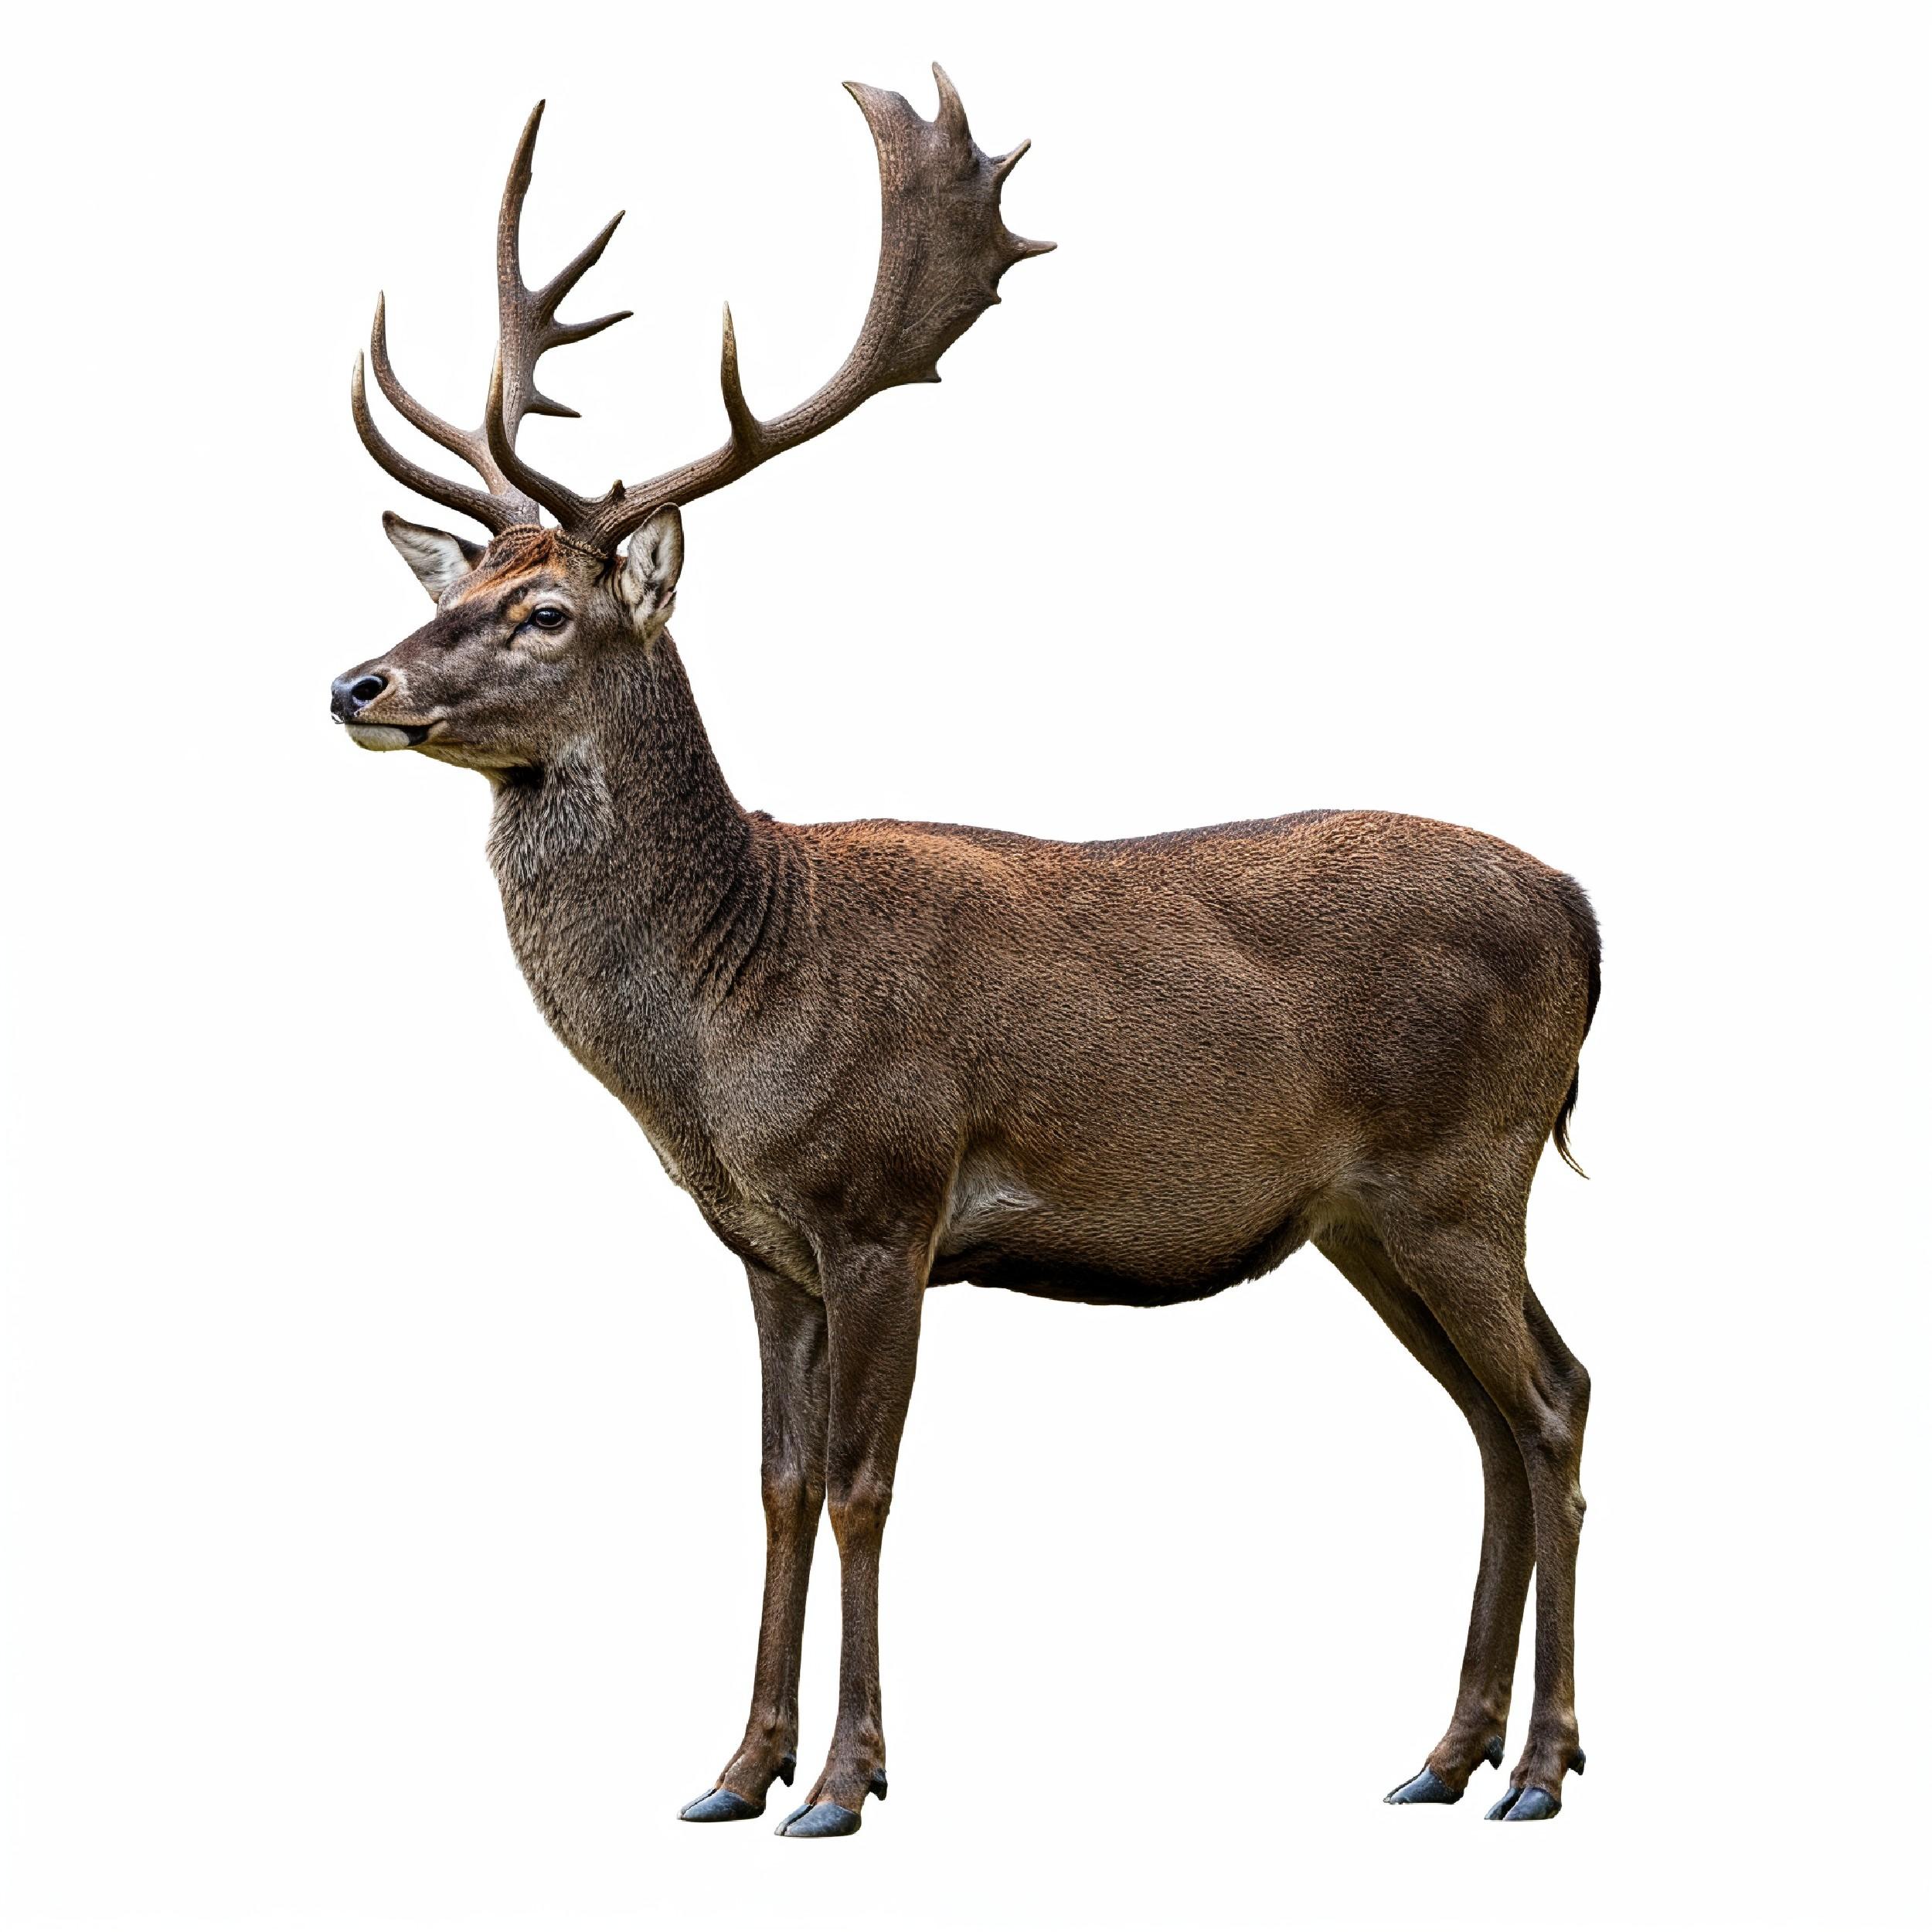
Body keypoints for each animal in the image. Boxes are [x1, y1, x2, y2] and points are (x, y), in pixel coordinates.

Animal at [332, 67, 1600, 1837]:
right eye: (466, 587)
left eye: (544, 616)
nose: (357, 683)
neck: (723, 1030)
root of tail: (1587, 910)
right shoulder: (762, 1244)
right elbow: (780, 1482)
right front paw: (732, 1769)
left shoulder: (886, 1193)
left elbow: (866, 1483)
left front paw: (844, 1780)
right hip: (1368, 1214)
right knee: (1503, 1413)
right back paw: (1445, 1750)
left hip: (1465, 1166)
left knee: (1549, 1405)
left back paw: (1541, 1765)